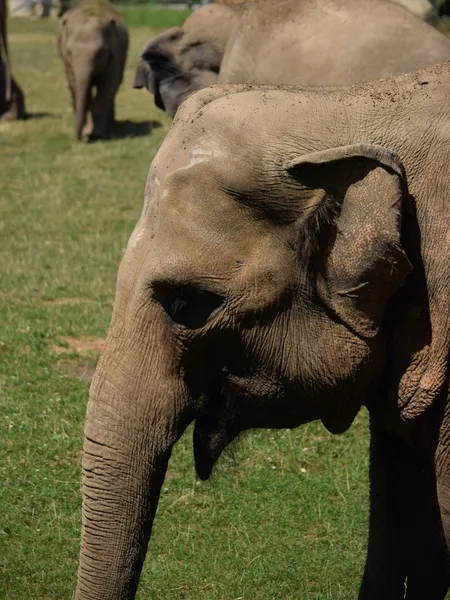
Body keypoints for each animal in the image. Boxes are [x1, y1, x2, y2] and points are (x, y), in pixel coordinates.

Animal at [58, 0, 128, 140]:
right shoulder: (68, 62)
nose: (78, 138)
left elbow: (108, 86)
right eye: (69, 52)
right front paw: (88, 131)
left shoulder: (114, 53)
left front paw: (96, 134)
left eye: (99, 52)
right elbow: (76, 86)